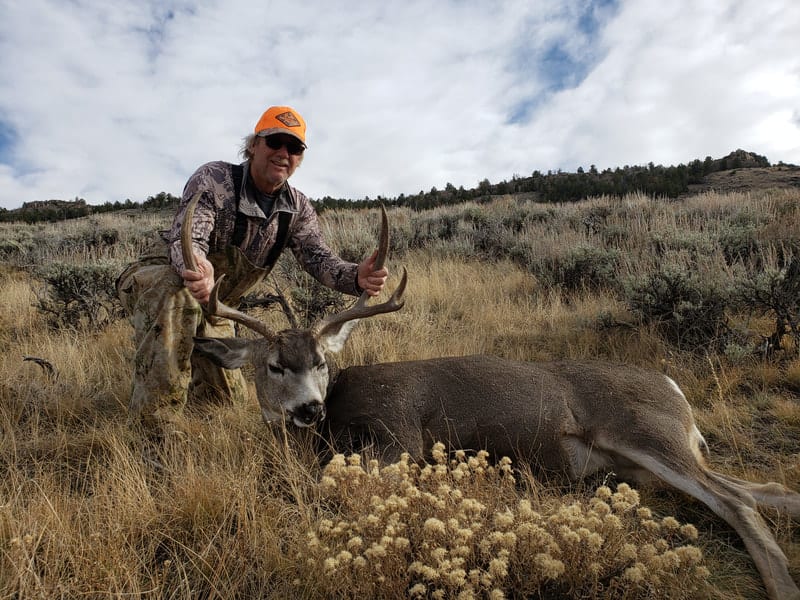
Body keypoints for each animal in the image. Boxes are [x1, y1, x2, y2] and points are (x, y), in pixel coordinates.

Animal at [184, 200, 799, 600]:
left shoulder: (398, 438)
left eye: (321, 363)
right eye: (274, 365)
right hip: (645, 459)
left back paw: (782, 585)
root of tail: (673, 387)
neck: (339, 410)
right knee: (762, 488)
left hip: (644, 431)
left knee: (735, 499)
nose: (309, 409)